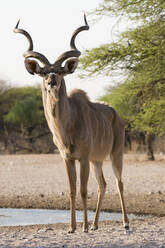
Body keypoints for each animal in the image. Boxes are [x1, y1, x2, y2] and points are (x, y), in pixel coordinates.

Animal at [14, 15, 129, 232]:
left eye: (60, 71)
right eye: (43, 72)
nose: (51, 81)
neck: (67, 127)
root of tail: (117, 116)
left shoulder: (82, 157)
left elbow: (83, 190)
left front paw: (83, 227)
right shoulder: (67, 158)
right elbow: (72, 190)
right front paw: (72, 227)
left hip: (115, 154)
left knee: (119, 183)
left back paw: (125, 223)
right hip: (97, 160)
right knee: (103, 185)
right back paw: (95, 225)